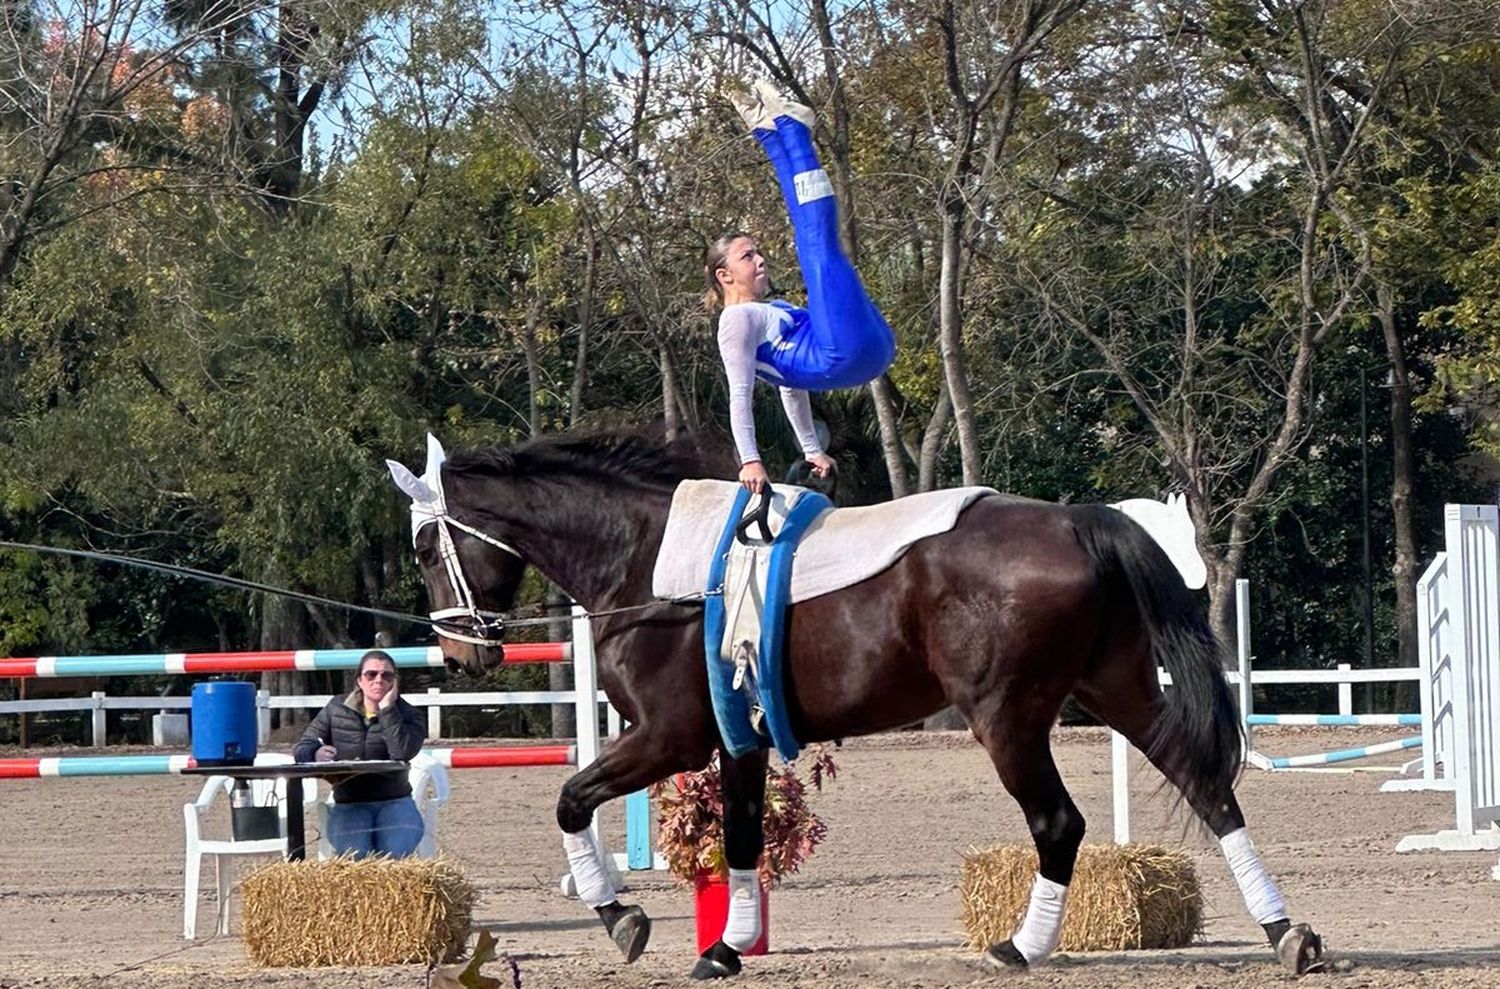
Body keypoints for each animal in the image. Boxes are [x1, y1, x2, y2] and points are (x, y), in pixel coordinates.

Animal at [384, 432, 1326, 984]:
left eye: (427, 546)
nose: (462, 653)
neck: (649, 559)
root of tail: (1076, 520)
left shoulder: (670, 735)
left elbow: (570, 798)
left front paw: (623, 917)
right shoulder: (735, 738)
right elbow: (740, 835)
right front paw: (726, 945)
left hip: (1008, 716)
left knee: (1060, 822)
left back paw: (1021, 945)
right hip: (1116, 689)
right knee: (1208, 787)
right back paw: (1287, 931)